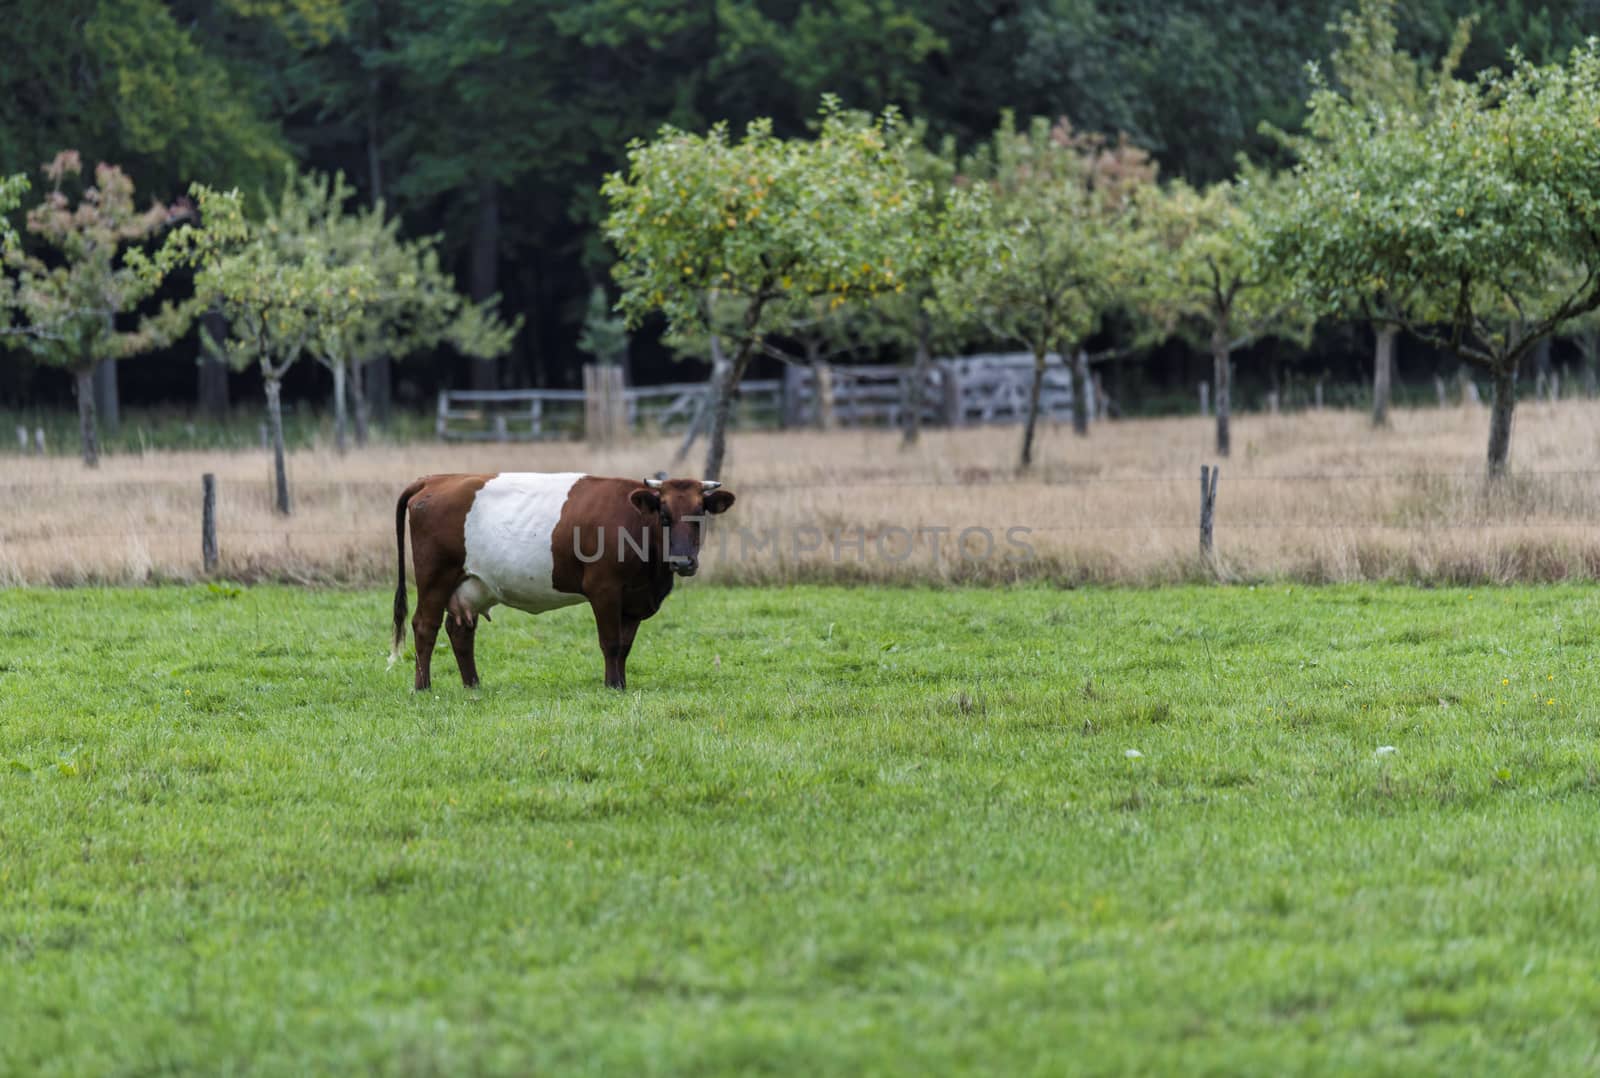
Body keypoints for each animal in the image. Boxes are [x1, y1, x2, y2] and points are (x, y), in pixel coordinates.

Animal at [393, 470, 736, 687]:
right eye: (664, 514)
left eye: (700, 514)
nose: (683, 561)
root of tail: (436, 478)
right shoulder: (604, 589)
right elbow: (611, 642)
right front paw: (613, 686)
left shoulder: (634, 599)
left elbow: (625, 645)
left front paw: (622, 682)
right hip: (435, 578)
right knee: (425, 627)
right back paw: (423, 686)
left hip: (471, 584)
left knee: (460, 631)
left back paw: (473, 685)